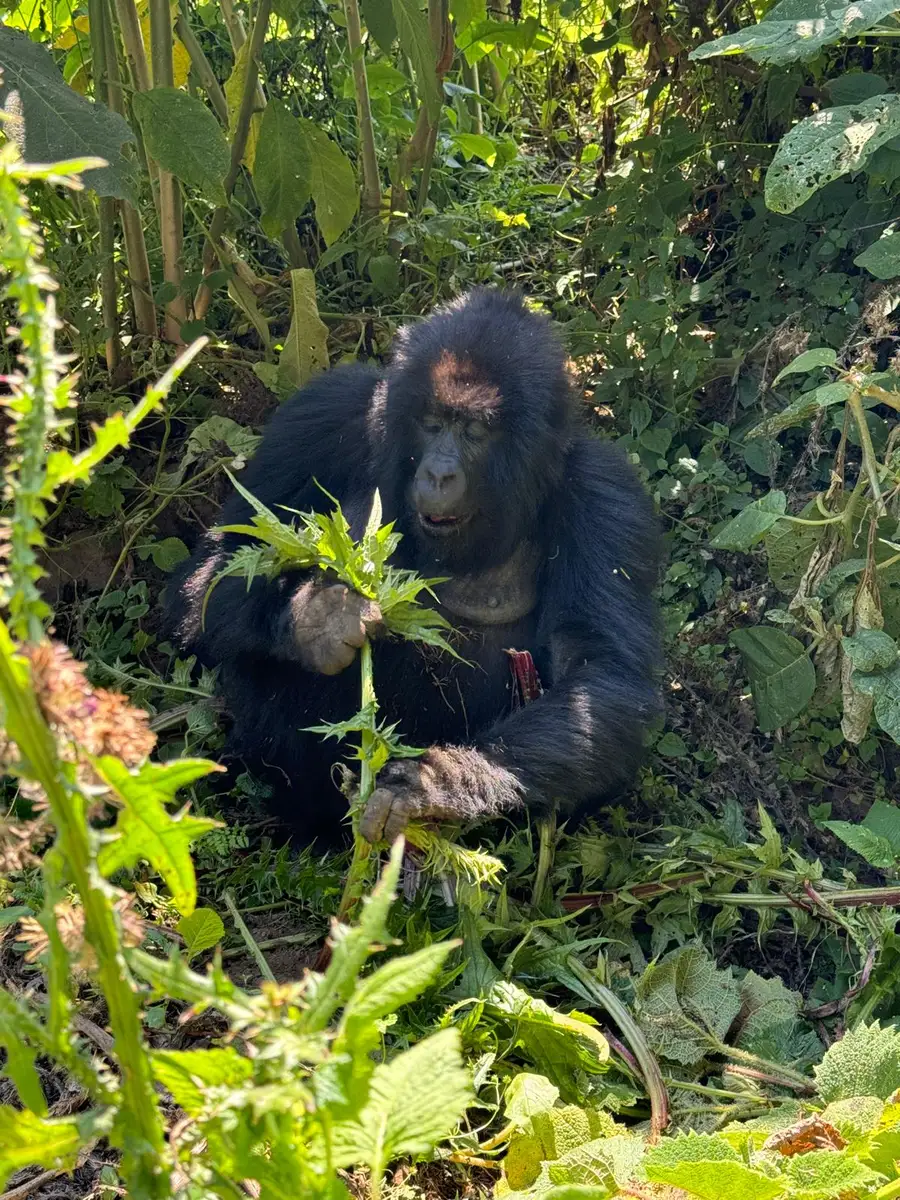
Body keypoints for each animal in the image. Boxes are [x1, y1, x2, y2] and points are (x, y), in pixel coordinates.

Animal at [168, 292, 662, 844]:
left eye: (475, 430)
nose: (439, 473)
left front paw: (439, 784)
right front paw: (318, 619)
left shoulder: (606, 491)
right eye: (431, 422)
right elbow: (212, 571)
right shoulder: (322, 410)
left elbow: (601, 674)